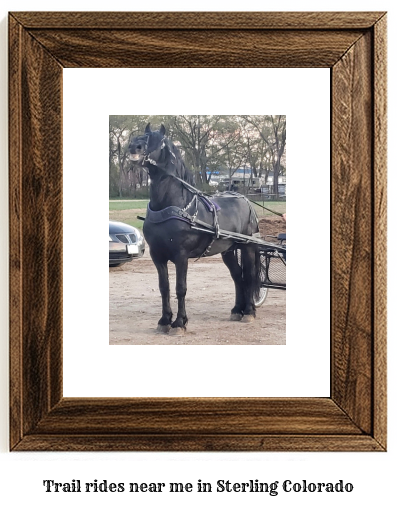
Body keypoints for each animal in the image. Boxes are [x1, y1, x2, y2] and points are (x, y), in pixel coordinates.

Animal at [128, 124, 262, 336]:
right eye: (140, 136)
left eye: (158, 141)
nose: (134, 146)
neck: (173, 206)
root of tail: (245, 200)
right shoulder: (157, 255)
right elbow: (164, 288)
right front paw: (164, 320)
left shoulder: (181, 256)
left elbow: (180, 288)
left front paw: (179, 323)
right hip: (228, 251)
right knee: (237, 276)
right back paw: (236, 310)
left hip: (247, 247)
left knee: (248, 276)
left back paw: (248, 312)